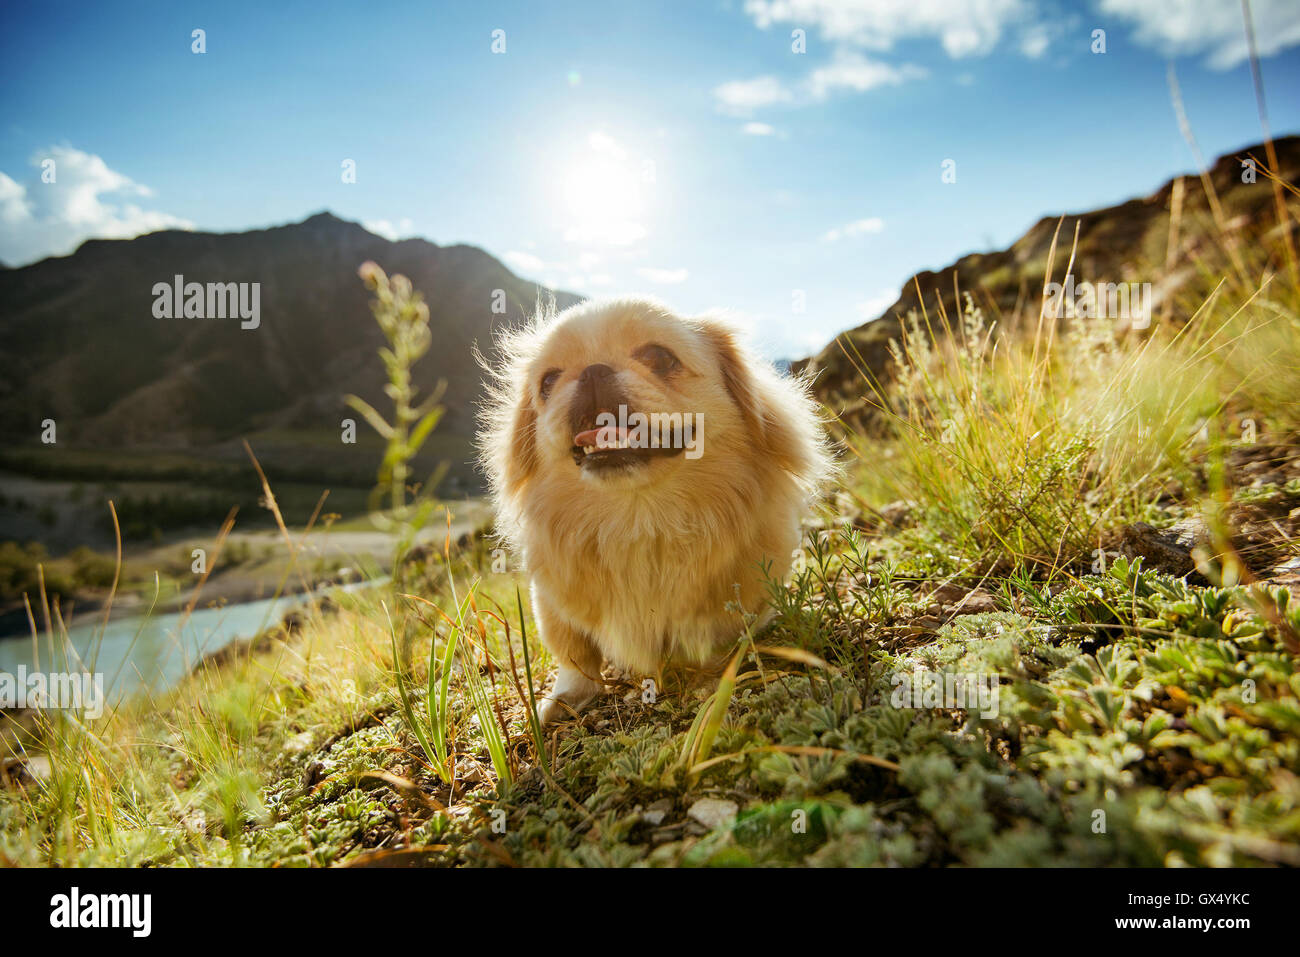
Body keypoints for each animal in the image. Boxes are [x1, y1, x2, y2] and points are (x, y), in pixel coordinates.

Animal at [480, 295, 832, 722]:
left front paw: (709, 679)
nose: (593, 371)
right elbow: (575, 657)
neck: (639, 518)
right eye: (548, 381)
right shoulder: (551, 603)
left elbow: (717, 639)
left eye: (659, 358)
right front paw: (568, 697)